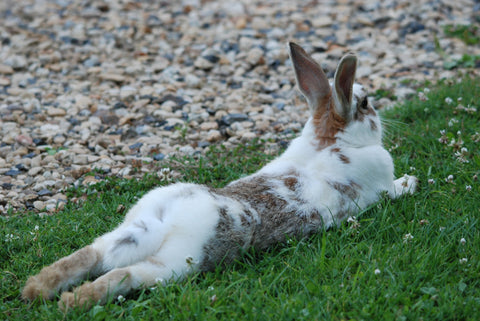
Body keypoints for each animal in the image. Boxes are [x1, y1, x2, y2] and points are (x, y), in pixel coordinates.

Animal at [21, 42, 416, 310]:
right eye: (365, 104)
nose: (379, 114)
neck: (329, 142)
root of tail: (167, 222)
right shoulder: (380, 187)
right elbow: (394, 189)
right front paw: (412, 181)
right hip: (176, 264)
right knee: (122, 275)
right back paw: (70, 303)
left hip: (130, 231)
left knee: (90, 256)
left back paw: (36, 289)